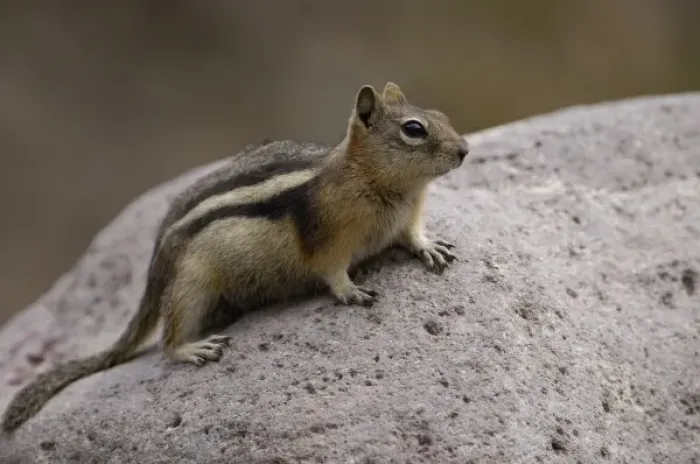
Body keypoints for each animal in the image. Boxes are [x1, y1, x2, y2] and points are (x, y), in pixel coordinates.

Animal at [1, 82, 469, 434]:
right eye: (414, 129)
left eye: (442, 115)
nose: (465, 150)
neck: (388, 188)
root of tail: (157, 259)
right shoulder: (329, 239)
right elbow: (331, 270)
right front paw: (350, 290)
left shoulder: (407, 218)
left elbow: (413, 235)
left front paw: (430, 246)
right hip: (191, 284)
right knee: (166, 341)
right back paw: (192, 348)